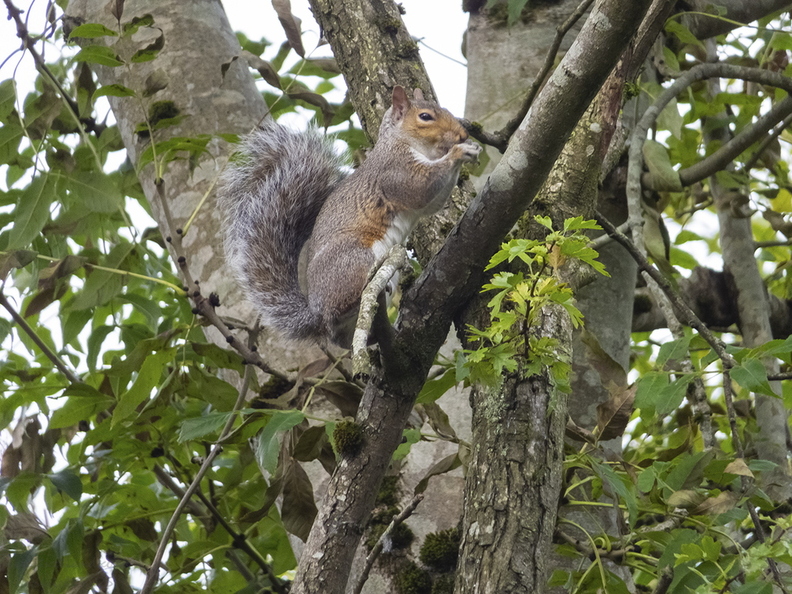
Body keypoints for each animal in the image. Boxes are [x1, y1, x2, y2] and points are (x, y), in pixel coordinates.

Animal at [219, 86, 481, 347]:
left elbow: (432, 204)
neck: (402, 142)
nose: (461, 135)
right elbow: (420, 189)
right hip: (355, 258)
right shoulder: (395, 171)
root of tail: (317, 312)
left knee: (343, 338)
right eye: (425, 117)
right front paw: (460, 152)